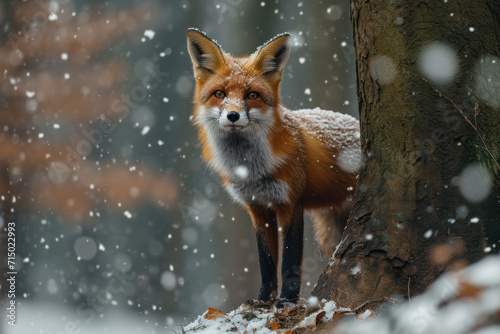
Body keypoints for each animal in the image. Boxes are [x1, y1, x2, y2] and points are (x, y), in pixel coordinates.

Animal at [187, 28, 360, 300]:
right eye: (220, 94)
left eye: (252, 95)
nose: (233, 116)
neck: (251, 170)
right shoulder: (258, 208)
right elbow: (265, 259)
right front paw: (263, 300)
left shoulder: (291, 201)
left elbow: (290, 257)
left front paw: (288, 299)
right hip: (329, 233)